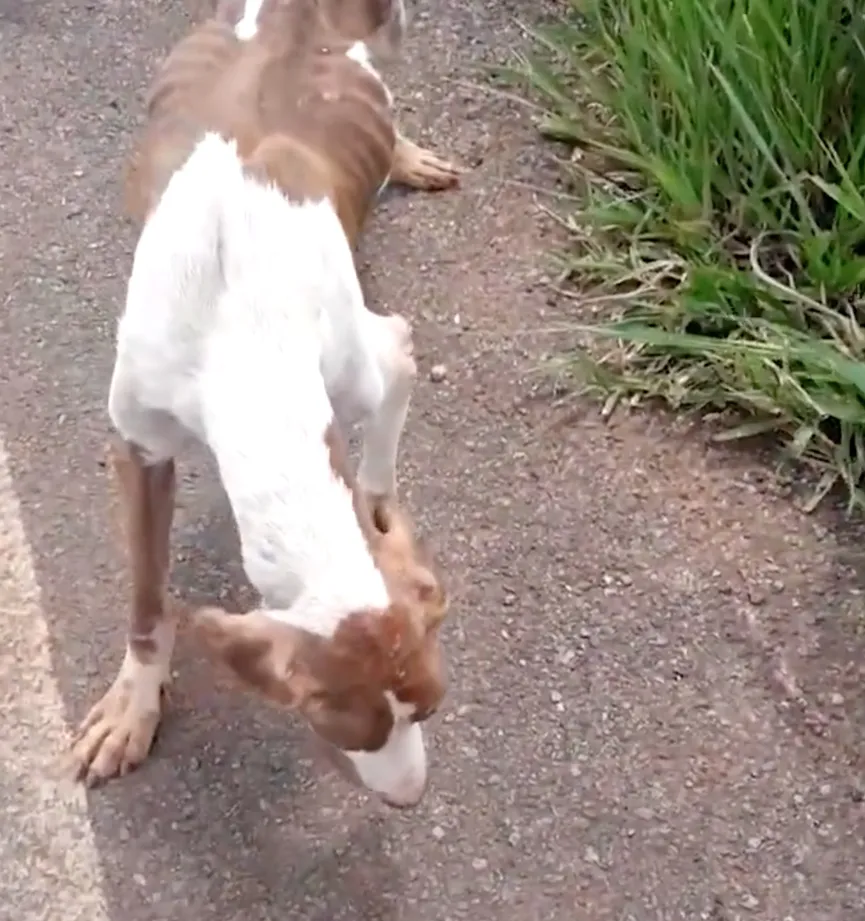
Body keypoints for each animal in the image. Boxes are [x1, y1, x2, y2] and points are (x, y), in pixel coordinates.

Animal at [70, 0, 460, 804]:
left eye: (432, 709)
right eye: (343, 733)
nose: (409, 796)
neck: (240, 330)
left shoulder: (379, 356)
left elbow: (380, 465)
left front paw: (384, 521)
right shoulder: (139, 448)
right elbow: (148, 601)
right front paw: (134, 704)